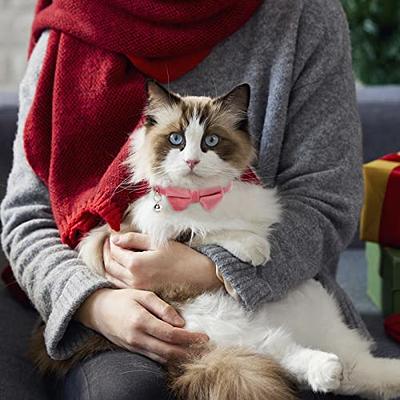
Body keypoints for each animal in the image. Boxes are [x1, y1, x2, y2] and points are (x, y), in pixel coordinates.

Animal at [30, 82, 400, 400]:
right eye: (176, 139)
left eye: (210, 141)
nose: (192, 161)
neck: (199, 198)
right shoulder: (145, 228)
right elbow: (206, 231)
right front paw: (254, 249)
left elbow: (232, 227)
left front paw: (252, 249)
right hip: (231, 331)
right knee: (291, 356)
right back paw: (326, 369)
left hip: (316, 312)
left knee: (355, 368)